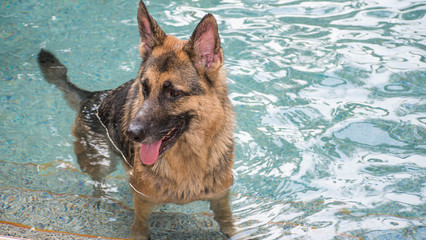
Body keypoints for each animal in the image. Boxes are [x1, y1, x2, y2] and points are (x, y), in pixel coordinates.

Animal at [35, 0, 236, 239]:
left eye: (174, 93)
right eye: (144, 88)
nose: (131, 133)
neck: (188, 158)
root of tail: (91, 96)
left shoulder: (221, 198)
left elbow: (228, 225)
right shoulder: (141, 198)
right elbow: (139, 225)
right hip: (101, 161)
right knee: (97, 182)